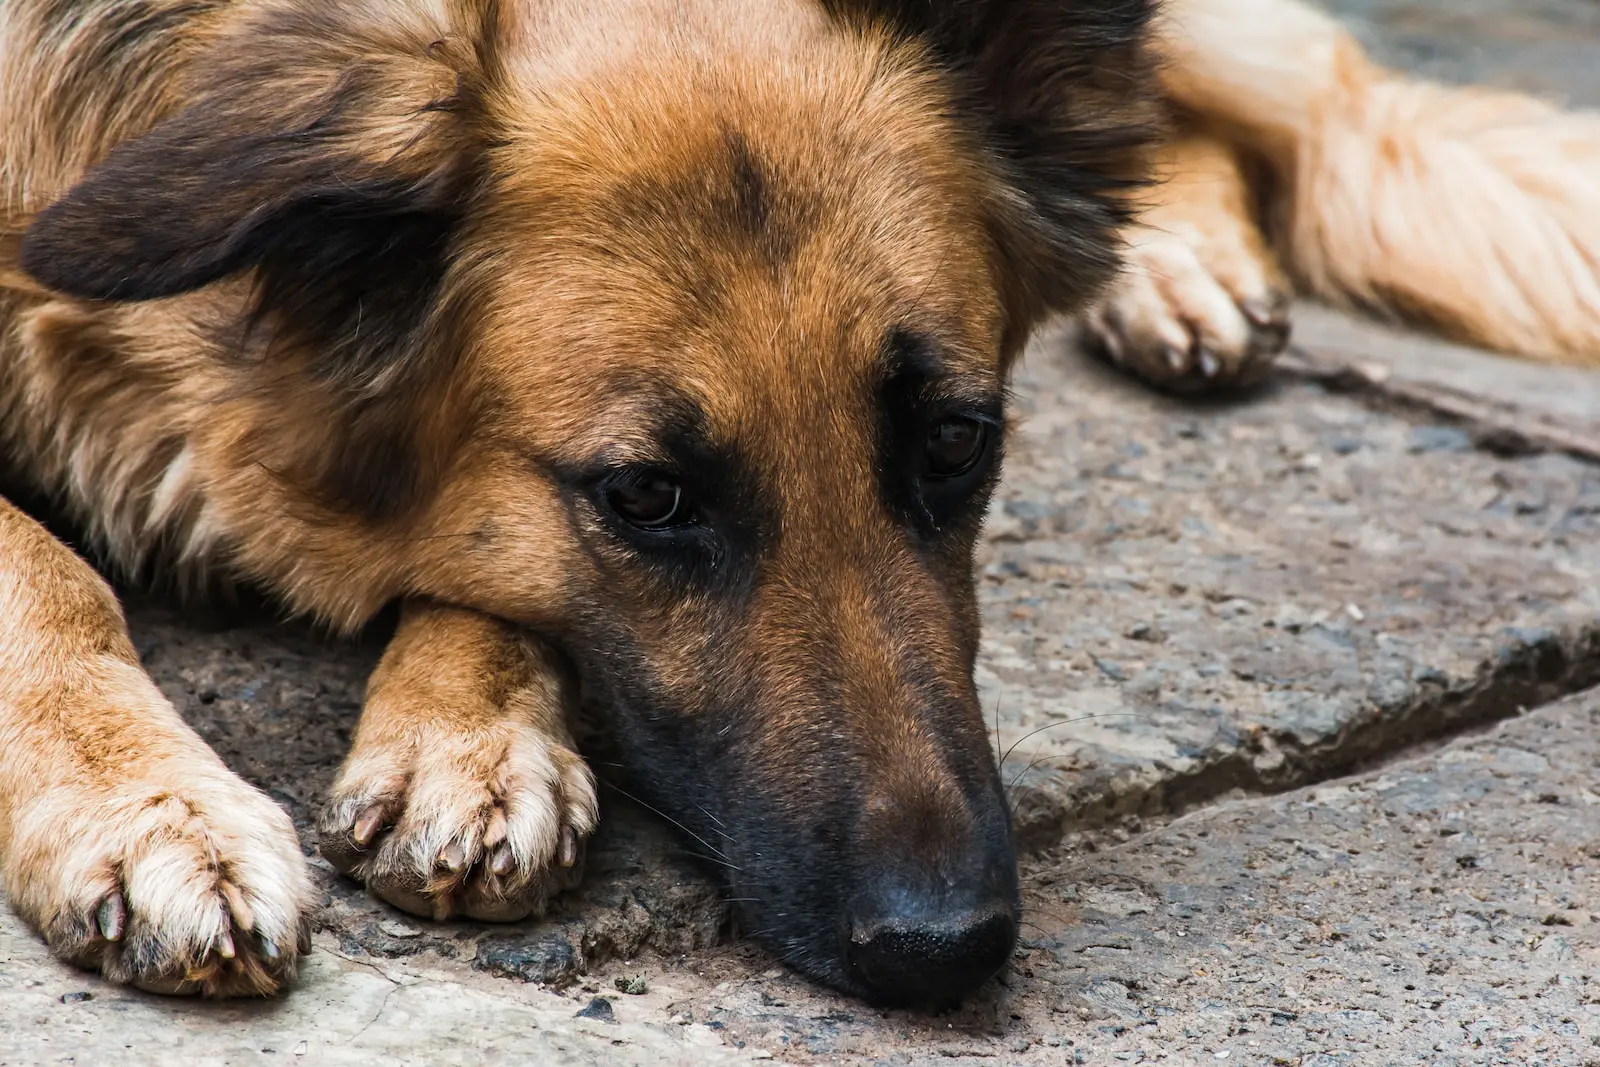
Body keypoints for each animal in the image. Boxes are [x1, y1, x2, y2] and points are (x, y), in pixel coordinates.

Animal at [3, 0, 1600, 1004]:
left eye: (956, 441)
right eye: (646, 494)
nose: (943, 945)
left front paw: (471, 733)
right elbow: (45, 569)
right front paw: (152, 805)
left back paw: (1173, 264)